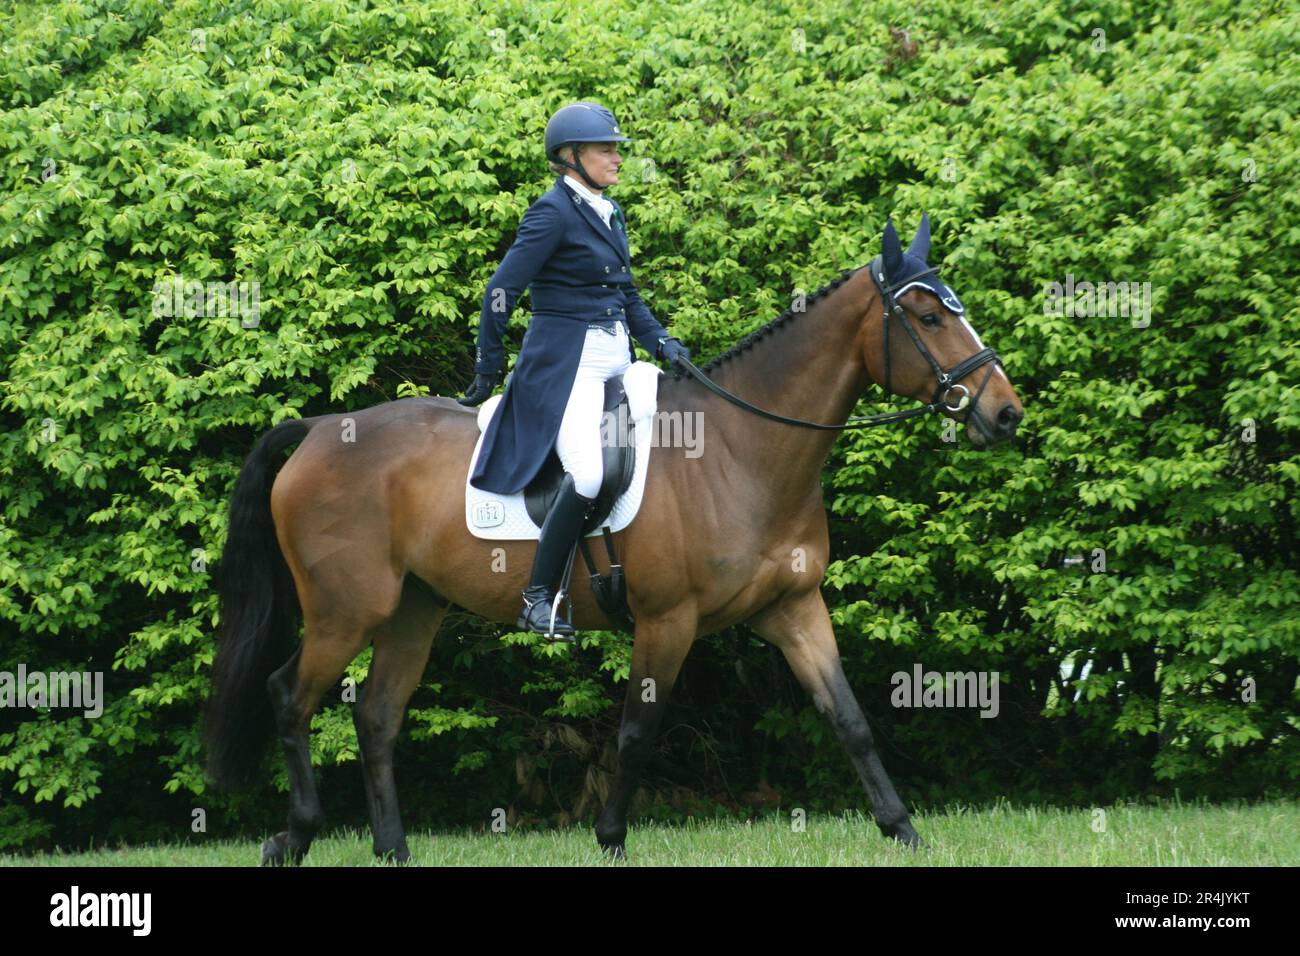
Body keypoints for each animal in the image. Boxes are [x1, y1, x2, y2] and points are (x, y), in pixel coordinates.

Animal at [202, 217, 1024, 868]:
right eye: (927, 315)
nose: (1006, 414)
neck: (740, 449)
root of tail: (318, 430)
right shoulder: (668, 620)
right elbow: (636, 730)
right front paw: (610, 837)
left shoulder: (793, 607)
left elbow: (849, 718)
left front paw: (903, 830)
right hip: (347, 610)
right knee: (290, 696)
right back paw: (294, 836)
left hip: (413, 609)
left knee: (375, 715)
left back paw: (393, 849)